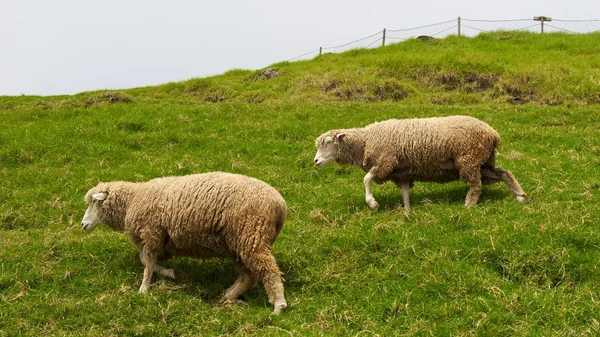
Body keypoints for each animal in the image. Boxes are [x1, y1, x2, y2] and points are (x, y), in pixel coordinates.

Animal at [81, 172, 288, 314]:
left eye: (94, 202)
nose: (83, 224)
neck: (133, 199)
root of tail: (280, 205)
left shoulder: (152, 234)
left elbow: (147, 263)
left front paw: (143, 289)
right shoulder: (157, 239)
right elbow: (145, 260)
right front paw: (169, 273)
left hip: (251, 235)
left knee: (268, 270)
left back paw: (279, 305)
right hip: (239, 243)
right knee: (248, 276)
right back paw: (228, 296)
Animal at [312, 115, 528, 210]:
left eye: (329, 142)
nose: (316, 161)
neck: (365, 141)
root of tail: (493, 133)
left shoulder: (385, 162)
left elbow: (366, 179)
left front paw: (372, 203)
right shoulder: (400, 173)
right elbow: (405, 193)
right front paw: (407, 212)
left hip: (469, 160)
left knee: (476, 185)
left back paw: (468, 205)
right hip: (483, 162)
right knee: (504, 173)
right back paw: (520, 195)